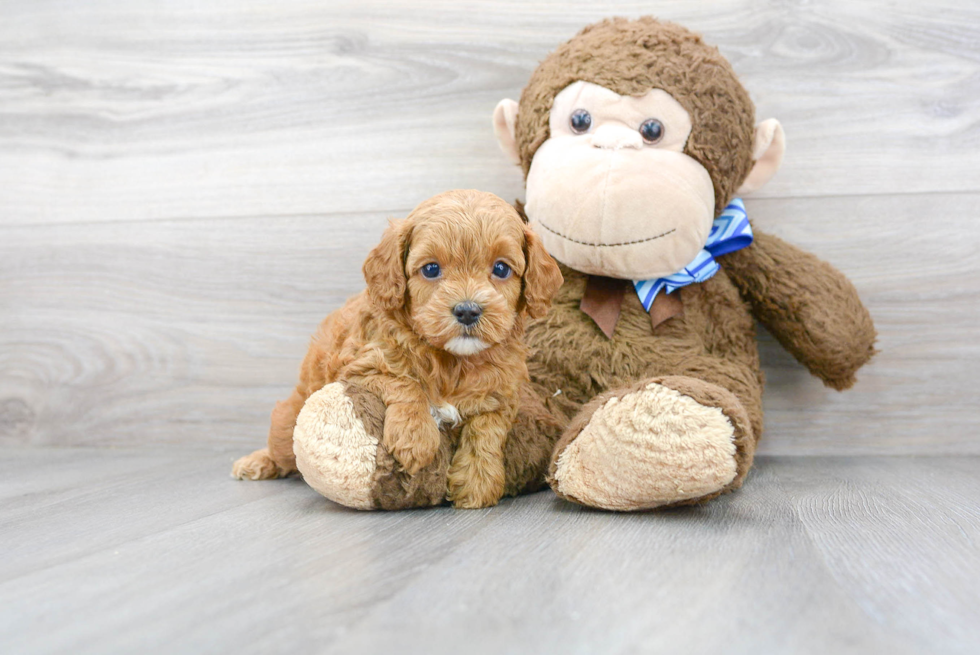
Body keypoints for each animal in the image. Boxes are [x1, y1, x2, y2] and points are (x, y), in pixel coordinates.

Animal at [231, 188, 564, 508]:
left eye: (501, 269)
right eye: (431, 269)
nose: (467, 310)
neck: (451, 360)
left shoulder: (499, 392)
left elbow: (487, 432)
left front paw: (476, 485)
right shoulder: (361, 364)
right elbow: (403, 381)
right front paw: (415, 439)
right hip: (288, 420)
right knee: (281, 449)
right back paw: (256, 462)